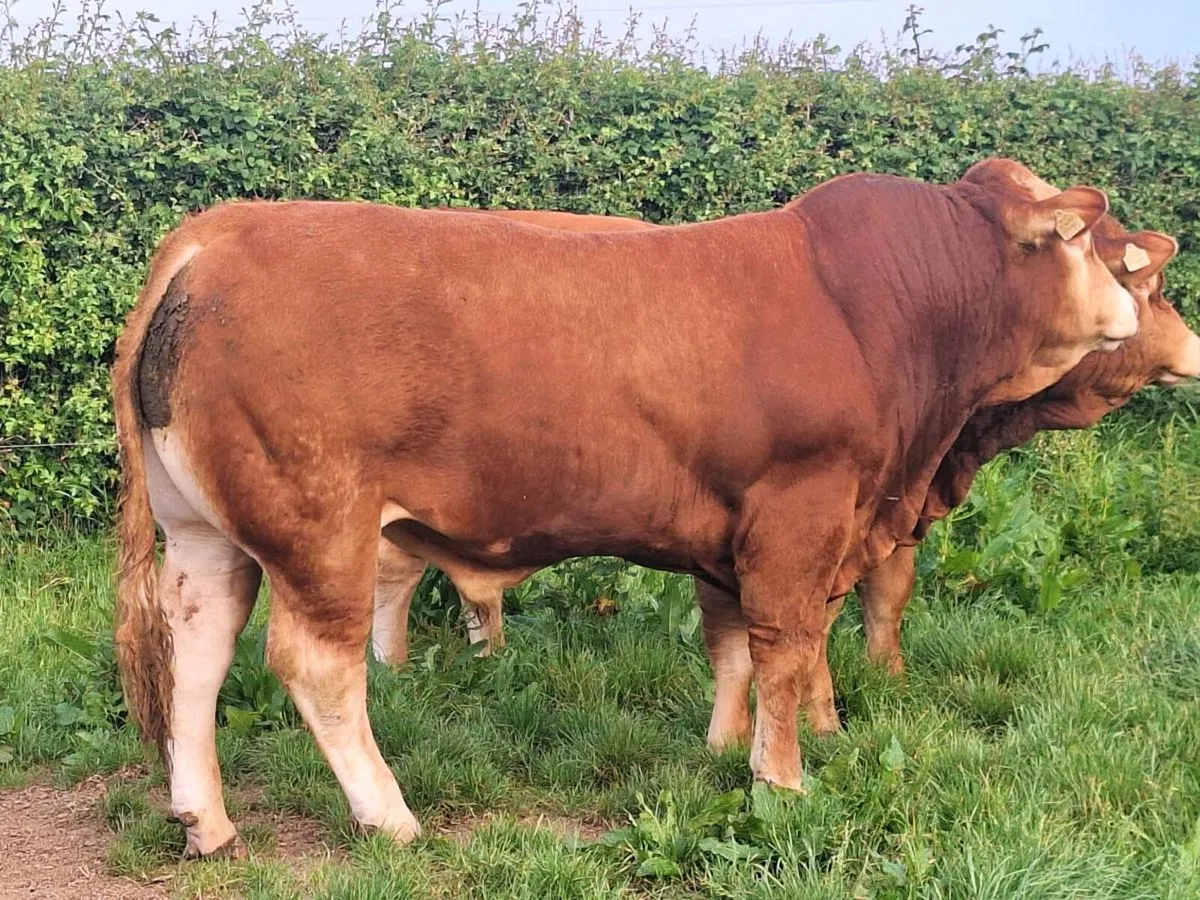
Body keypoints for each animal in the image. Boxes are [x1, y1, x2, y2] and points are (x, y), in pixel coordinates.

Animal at [112, 159, 1142, 857]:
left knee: (196, 650)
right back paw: (389, 815)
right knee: (315, 667)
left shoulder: (733, 530)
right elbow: (786, 648)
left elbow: (733, 647)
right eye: (1082, 241)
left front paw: (725, 752)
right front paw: (783, 780)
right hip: (321, 526)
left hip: (203, 530)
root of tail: (217, 233)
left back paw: (205, 820)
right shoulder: (801, 512)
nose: (1132, 307)